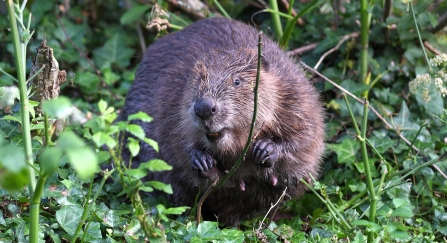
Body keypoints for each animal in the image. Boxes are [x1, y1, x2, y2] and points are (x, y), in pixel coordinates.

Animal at [120, 17, 326, 226]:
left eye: (237, 81)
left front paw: (266, 149)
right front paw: (201, 160)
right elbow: (180, 146)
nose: (204, 108)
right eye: (197, 80)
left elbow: (306, 137)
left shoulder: (294, 94)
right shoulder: (173, 107)